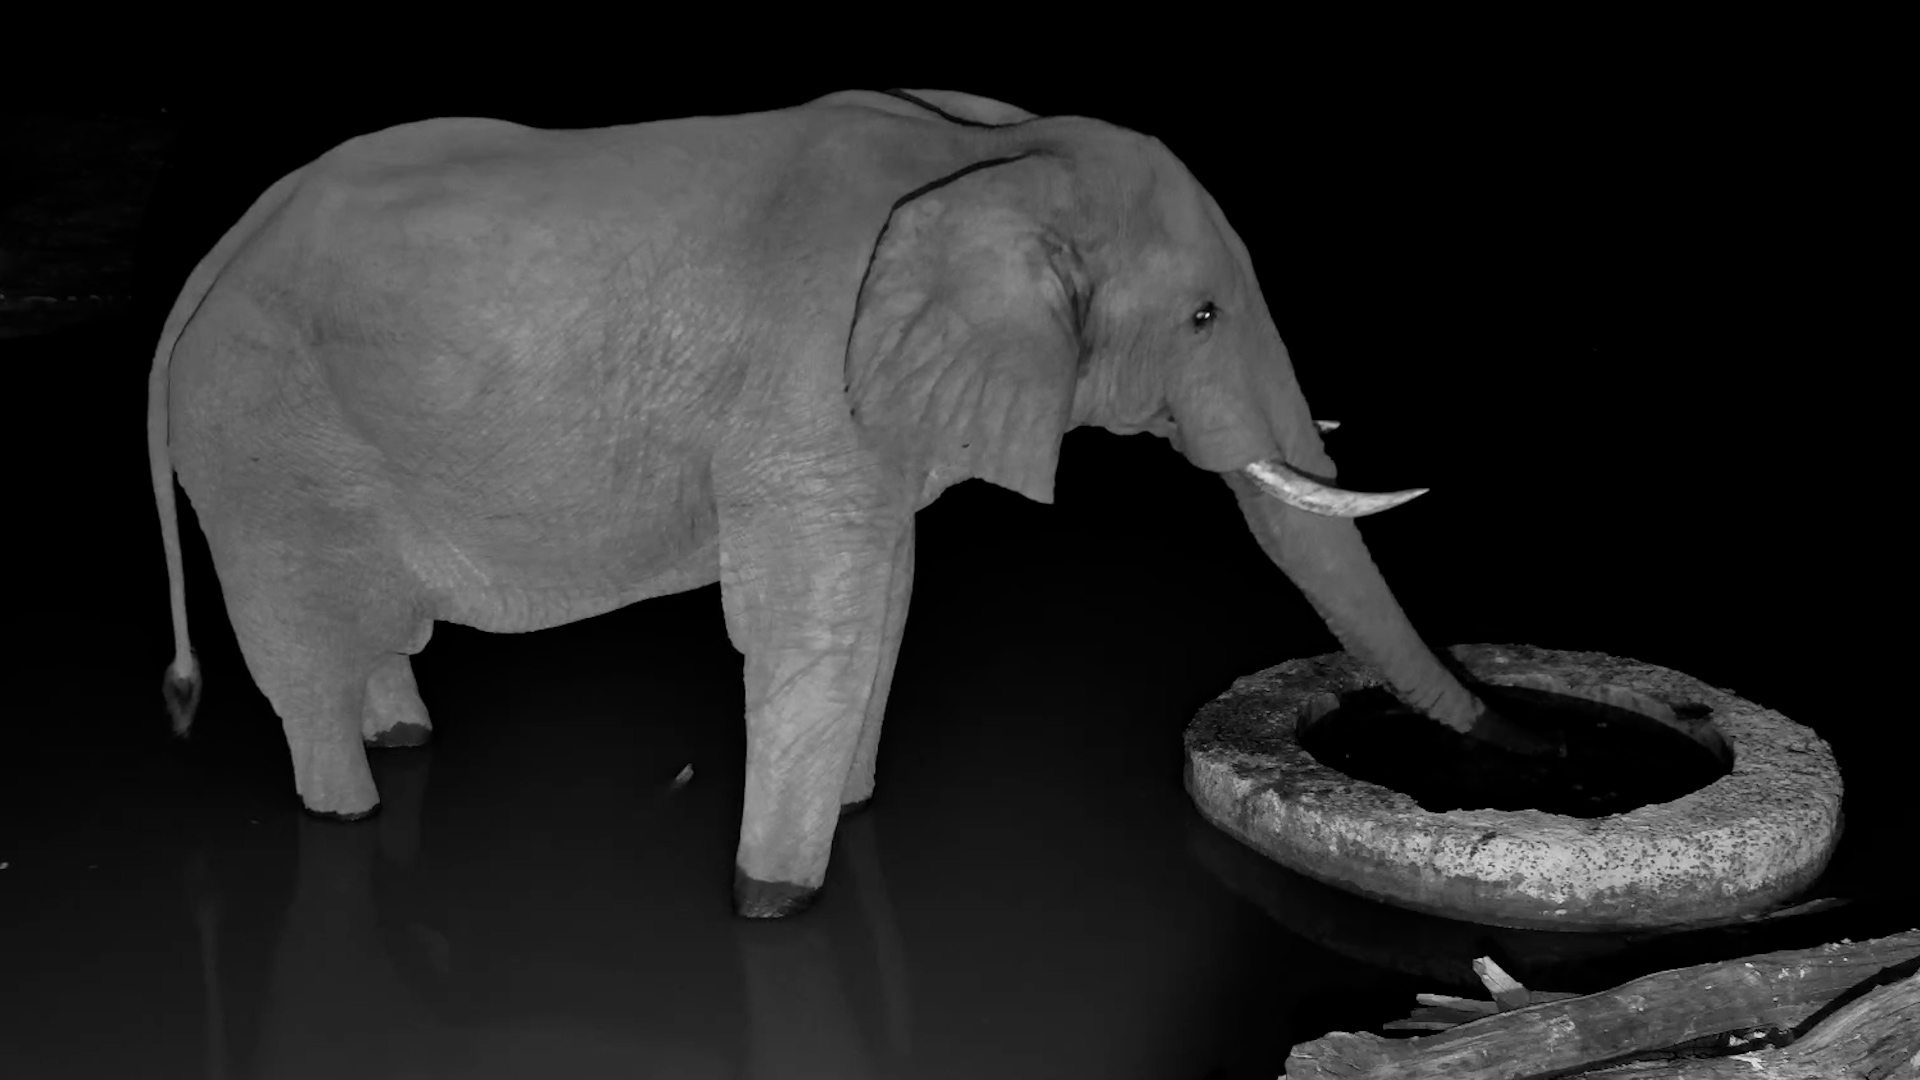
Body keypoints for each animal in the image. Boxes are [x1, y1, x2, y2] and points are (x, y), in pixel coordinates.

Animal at [149, 88, 1551, 918]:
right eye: (1204, 316)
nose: (1522, 745)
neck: (986, 157)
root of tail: (217, 253)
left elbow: (884, 600)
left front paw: (852, 812)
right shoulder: (801, 390)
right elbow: (811, 624)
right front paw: (772, 902)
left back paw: (402, 737)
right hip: (262, 442)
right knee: (297, 650)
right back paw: (348, 801)